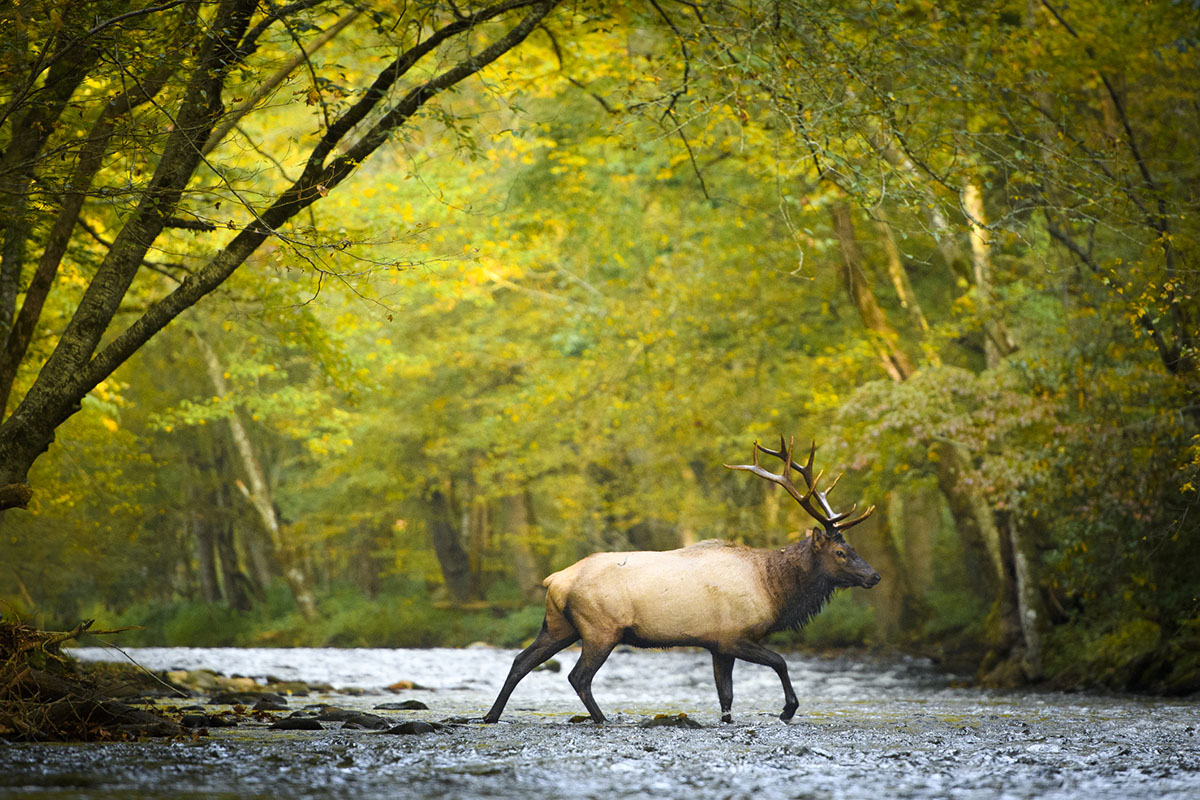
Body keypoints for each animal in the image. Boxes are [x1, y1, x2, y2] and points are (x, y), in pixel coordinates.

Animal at [480, 438, 883, 724]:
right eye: (840, 552)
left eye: (853, 547)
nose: (875, 575)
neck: (773, 590)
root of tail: (555, 580)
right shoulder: (734, 636)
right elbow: (780, 661)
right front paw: (787, 709)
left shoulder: (717, 645)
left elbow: (726, 696)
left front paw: (729, 720)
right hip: (600, 629)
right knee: (578, 676)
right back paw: (601, 718)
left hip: (558, 625)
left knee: (521, 661)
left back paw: (491, 715)